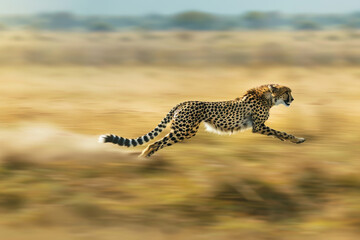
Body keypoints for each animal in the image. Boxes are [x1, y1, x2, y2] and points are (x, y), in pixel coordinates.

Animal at [99, 84, 306, 158]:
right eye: (287, 92)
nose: (293, 99)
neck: (267, 97)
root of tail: (185, 101)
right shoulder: (259, 126)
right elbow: (280, 131)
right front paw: (297, 139)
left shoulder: (259, 126)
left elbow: (278, 133)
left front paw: (291, 140)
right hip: (184, 131)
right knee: (155, 143)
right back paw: (143, 159)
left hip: (185, 130)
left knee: (156, 143)